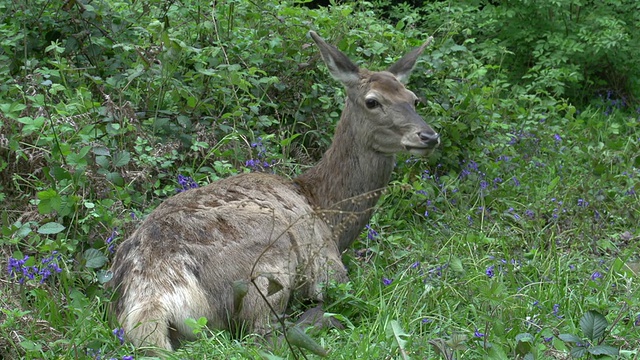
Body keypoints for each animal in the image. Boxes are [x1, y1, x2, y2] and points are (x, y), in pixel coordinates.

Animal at [110, 30, 440, 352]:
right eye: (373, 101)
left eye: (413, 99)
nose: (429, 136)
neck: (326, 210)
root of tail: (152, 298)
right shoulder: (328, 267)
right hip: (266, 271)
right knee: (266, 337)